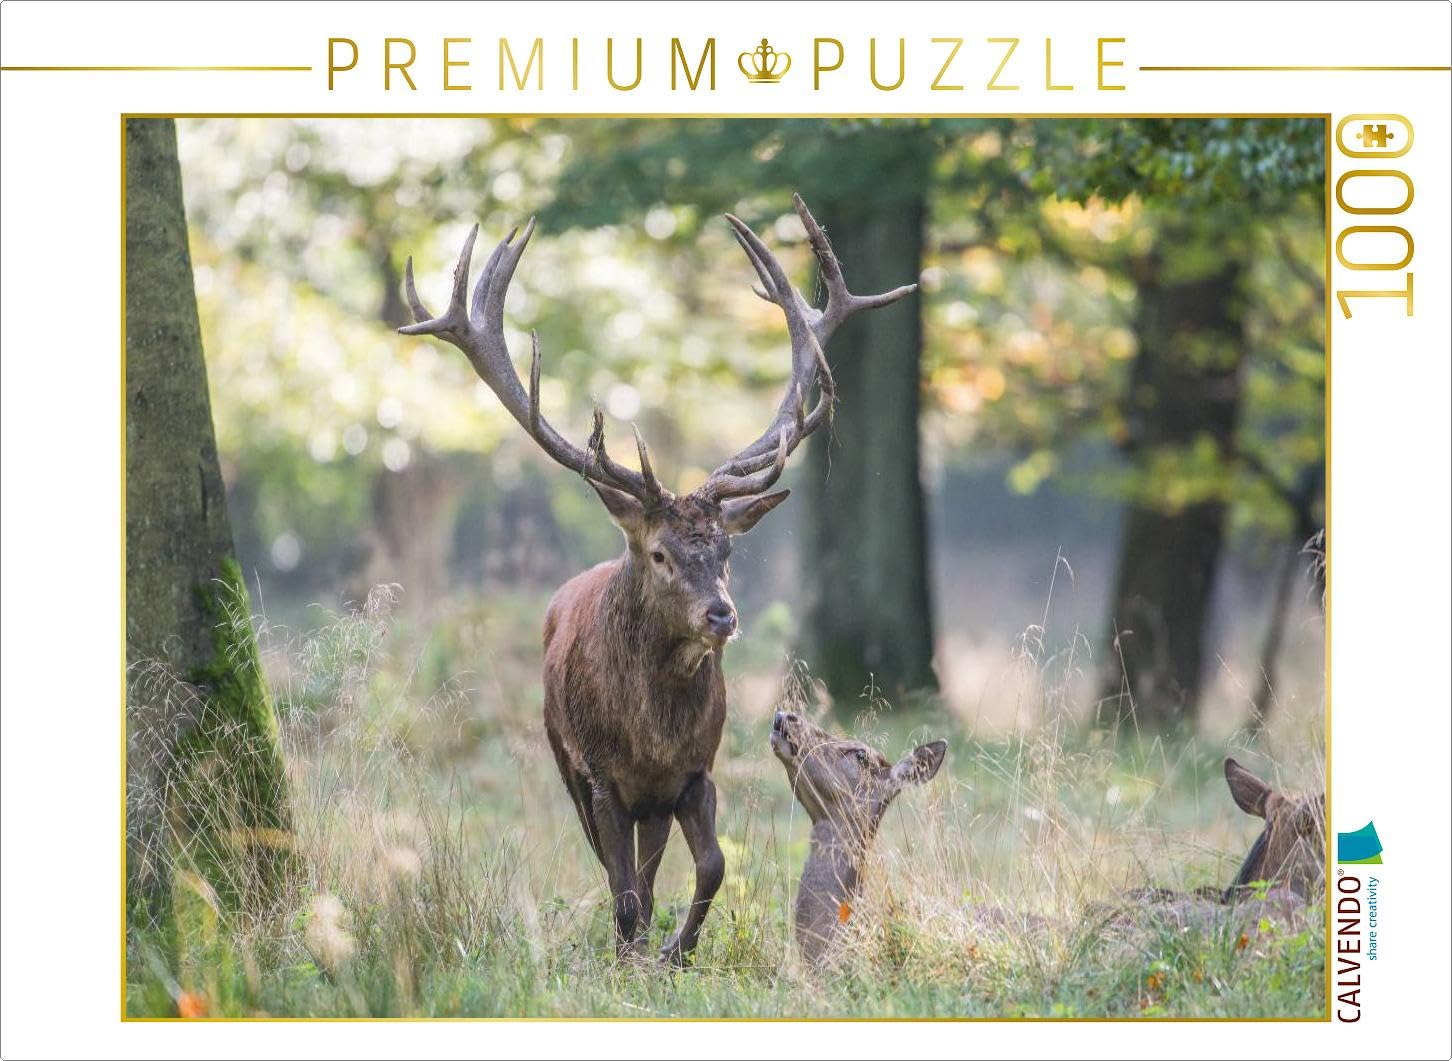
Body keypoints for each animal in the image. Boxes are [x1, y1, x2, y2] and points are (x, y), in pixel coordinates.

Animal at [398, 195, 916, 963]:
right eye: (662, 553)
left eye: (727, 550)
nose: (721, 616)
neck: (651, 734)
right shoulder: (602, 774)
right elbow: (622, 889)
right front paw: (636, 954)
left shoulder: (692, 774)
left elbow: (711, 865)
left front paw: (677, 950)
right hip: (565, 759)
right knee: (616, 869)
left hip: (651, 800)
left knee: (647, 864)